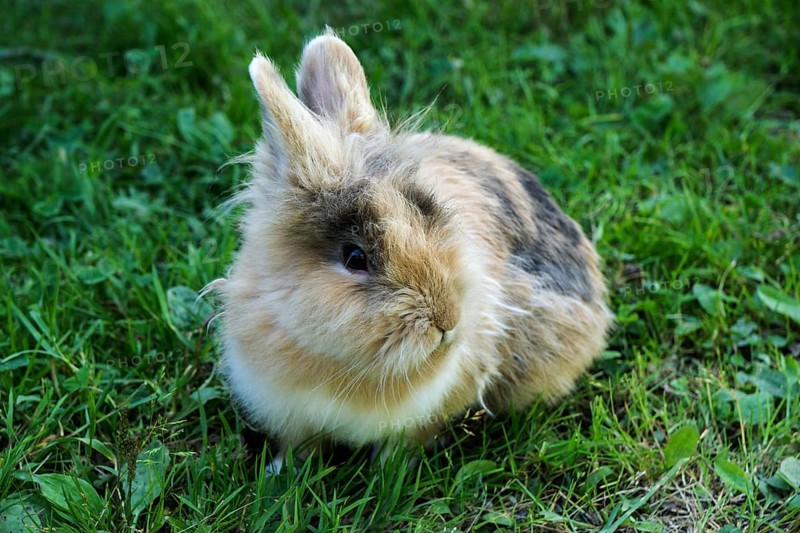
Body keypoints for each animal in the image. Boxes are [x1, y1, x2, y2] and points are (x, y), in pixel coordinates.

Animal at [207, 29, 612, 472]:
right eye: (355, 257)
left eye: (428, 213)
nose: (448, 320)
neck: (342, 369)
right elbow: (299, 445)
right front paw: (283, 472)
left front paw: (388, 470)